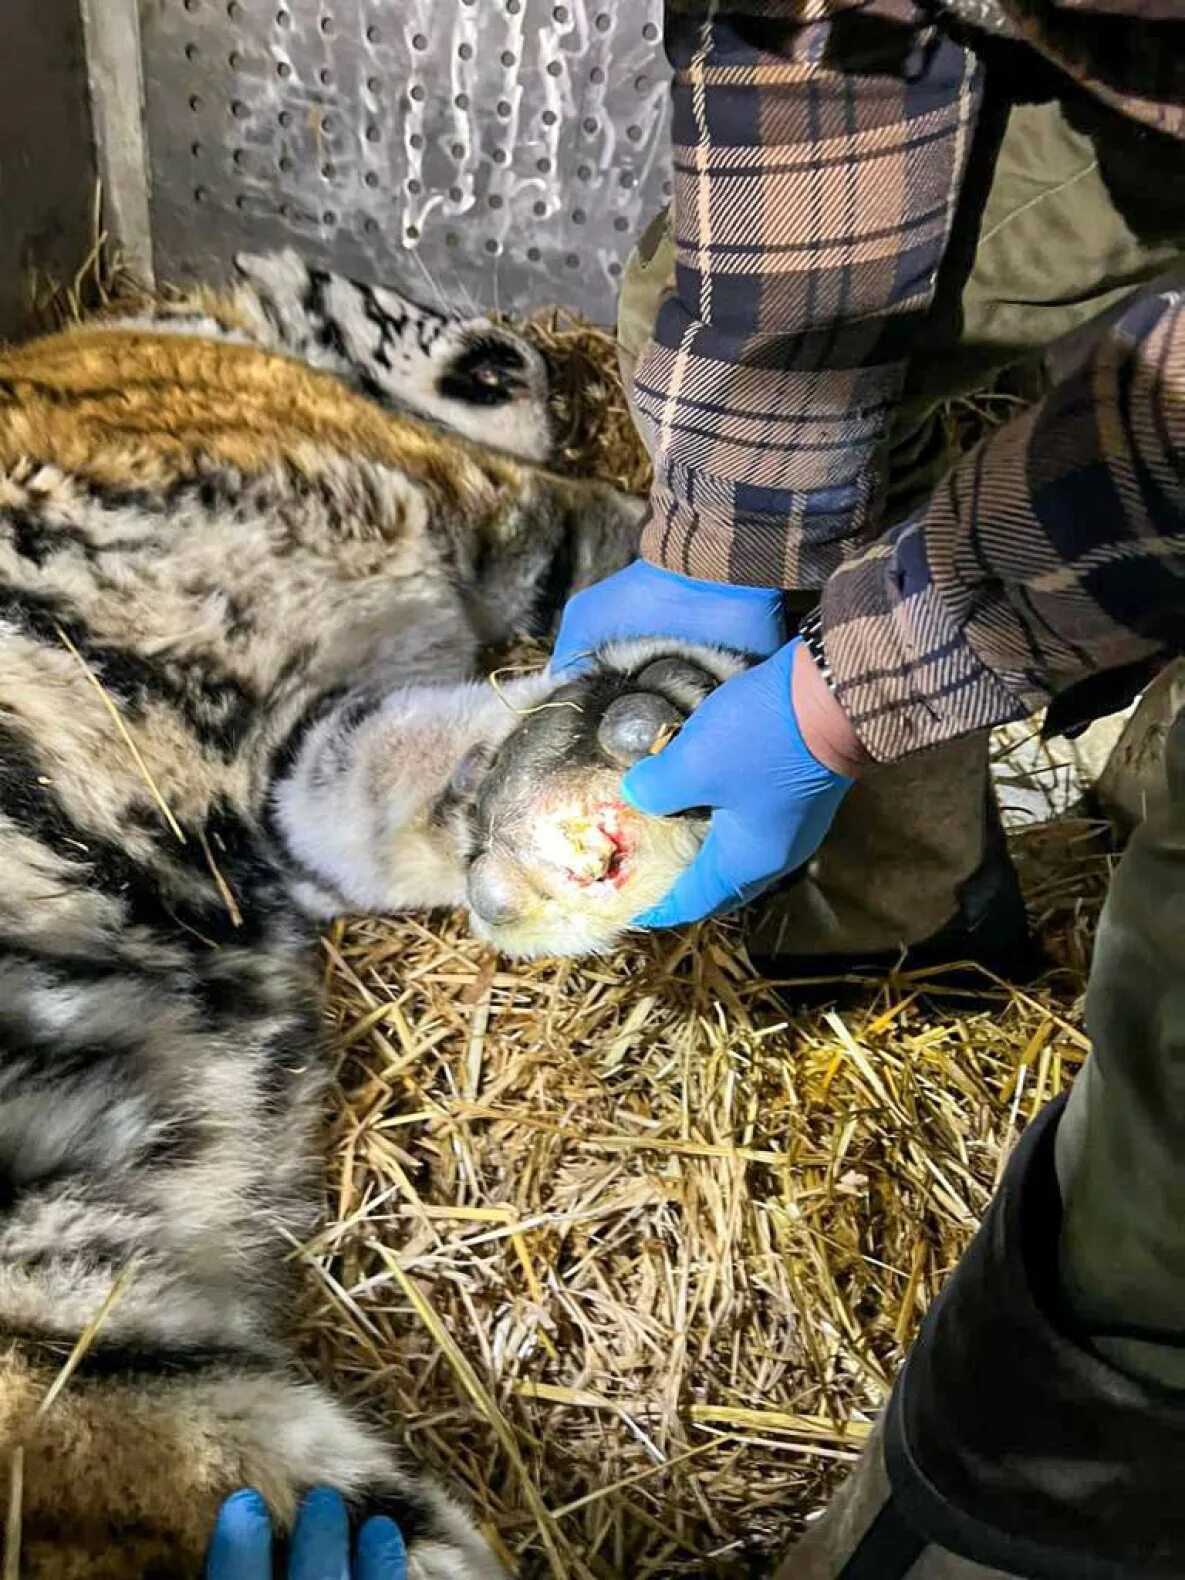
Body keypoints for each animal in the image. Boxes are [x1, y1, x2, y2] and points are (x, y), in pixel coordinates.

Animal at [0, 252, 729, 1573]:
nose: (522, 343)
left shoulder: (296, 766)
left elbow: (406, 772)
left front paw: (554, 782)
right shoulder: (486, 499)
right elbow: (624, 522)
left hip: (134, 1367)